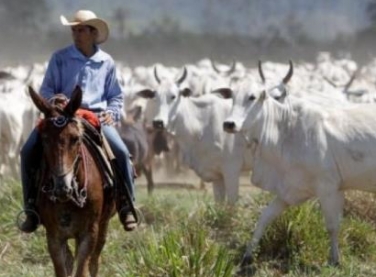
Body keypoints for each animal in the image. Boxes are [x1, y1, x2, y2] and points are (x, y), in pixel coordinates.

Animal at [28, 85, 116, 274]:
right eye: (45, 140)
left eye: (75, 139)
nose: (62, 187)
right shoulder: (54, 237)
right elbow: (63, 268)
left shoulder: (89, 234)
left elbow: (83, 268)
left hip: (103, 226)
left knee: (94, 262)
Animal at [220, 61, 376, 268]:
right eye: (232, 97)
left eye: (252, 97)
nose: (229, 124)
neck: (285, 130)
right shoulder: (290, 189)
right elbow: (264, 218)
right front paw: (247, 256)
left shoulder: (328, 188)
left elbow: (332, 226)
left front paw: (335, 261)